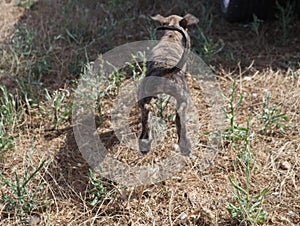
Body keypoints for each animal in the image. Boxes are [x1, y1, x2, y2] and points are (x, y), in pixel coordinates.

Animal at [138, 13, 199, 155]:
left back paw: (145, 142)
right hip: (183, 97)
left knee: (146, 112)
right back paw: (185, 145)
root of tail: (163, 70)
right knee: (179, 116)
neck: (171, 35)